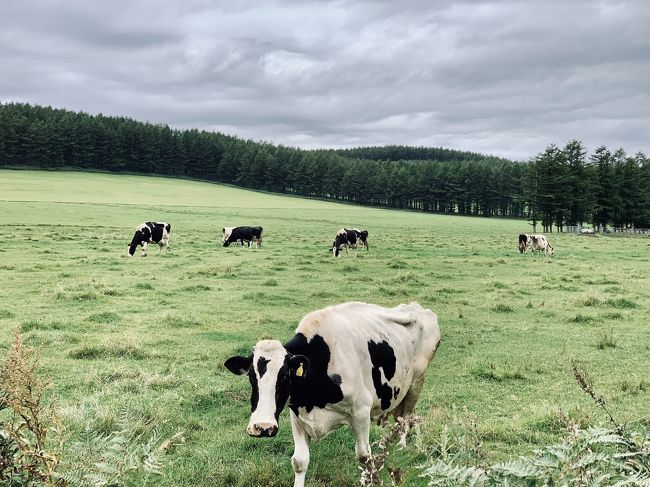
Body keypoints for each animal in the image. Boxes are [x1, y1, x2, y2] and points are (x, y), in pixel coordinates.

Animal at [224, 302, 440, 487]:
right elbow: (299, 461)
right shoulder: (297, 414)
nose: (263, 427)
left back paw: (402, 447)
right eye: (251, 376)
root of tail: (416, 307)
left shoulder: (361, 411)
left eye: (285, 375)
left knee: (407, 416)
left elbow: (365, 458)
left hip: (416, 382)